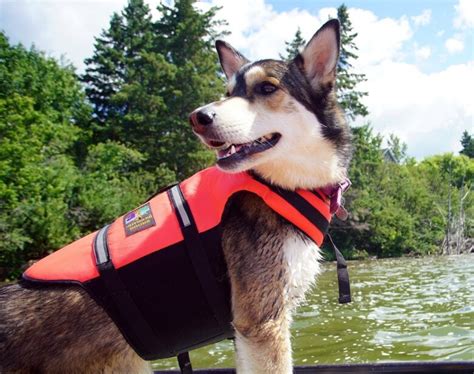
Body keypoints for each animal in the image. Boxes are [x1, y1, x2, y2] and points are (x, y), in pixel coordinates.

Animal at [0, 19, 352, 372]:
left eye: (266, 88)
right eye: (228, 94)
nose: (198, 117)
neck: (277, 185)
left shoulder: (249, 330)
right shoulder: (261, 322)